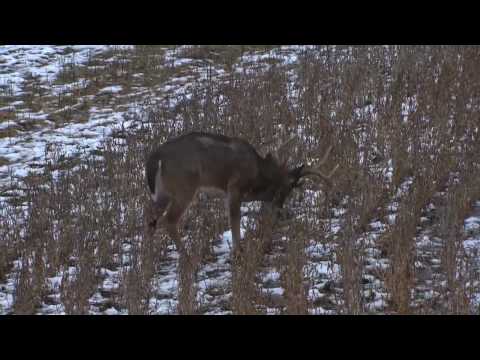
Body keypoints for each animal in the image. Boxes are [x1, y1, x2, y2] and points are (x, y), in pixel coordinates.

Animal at [144, 131, 340, 255]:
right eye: (287, 188)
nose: (279, 210)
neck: (258, 174)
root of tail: (155, 159)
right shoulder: (234, 187)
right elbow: (234, 218)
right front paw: (238, 250)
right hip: (184, 187)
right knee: (168, 220)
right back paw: (186, 256)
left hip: (162, 193)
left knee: (151, 219)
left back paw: (148, 258)